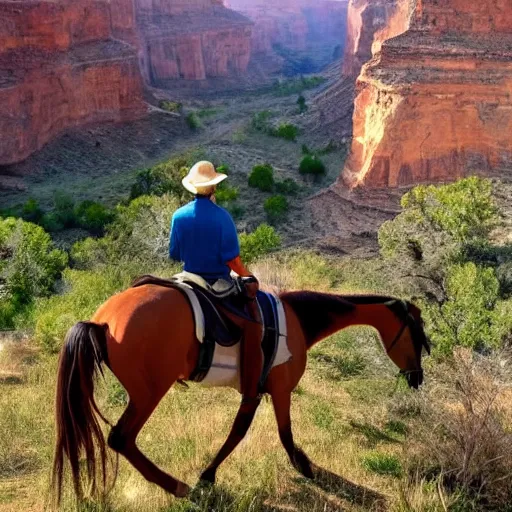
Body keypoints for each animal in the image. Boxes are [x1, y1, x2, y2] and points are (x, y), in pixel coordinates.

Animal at [51, 280, 428, 504]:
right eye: (417, 330)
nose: (418, 378)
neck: (298, 321)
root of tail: (102, 322)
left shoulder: (259, 391)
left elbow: (246, 431)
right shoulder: (278, 389)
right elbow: (270, 433)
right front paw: (301, 465)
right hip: (149, 393)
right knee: (121, 439)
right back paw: (179, 487)